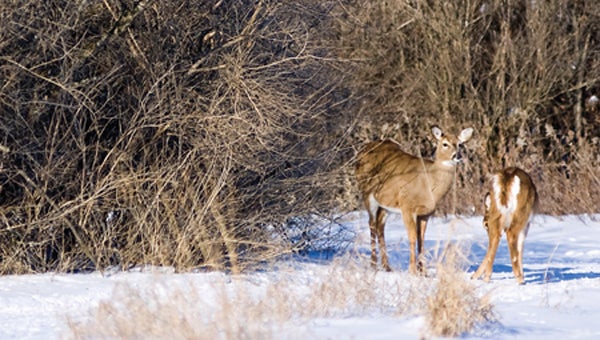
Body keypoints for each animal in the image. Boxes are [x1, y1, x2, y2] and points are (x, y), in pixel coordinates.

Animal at [356, 126, 474, 274]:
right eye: (445, 144)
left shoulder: (426, 213)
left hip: (386, 204)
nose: (457, 156)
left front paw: (423, 271)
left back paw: (387, 266)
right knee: (371, 224)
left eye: (460, 144)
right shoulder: (407, 206)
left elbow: (421, 239)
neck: (428, 185)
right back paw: (373, 265)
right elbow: (412, 237)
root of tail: (362, 151)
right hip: (367, 193)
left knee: (379, 226)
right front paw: (412, 270)